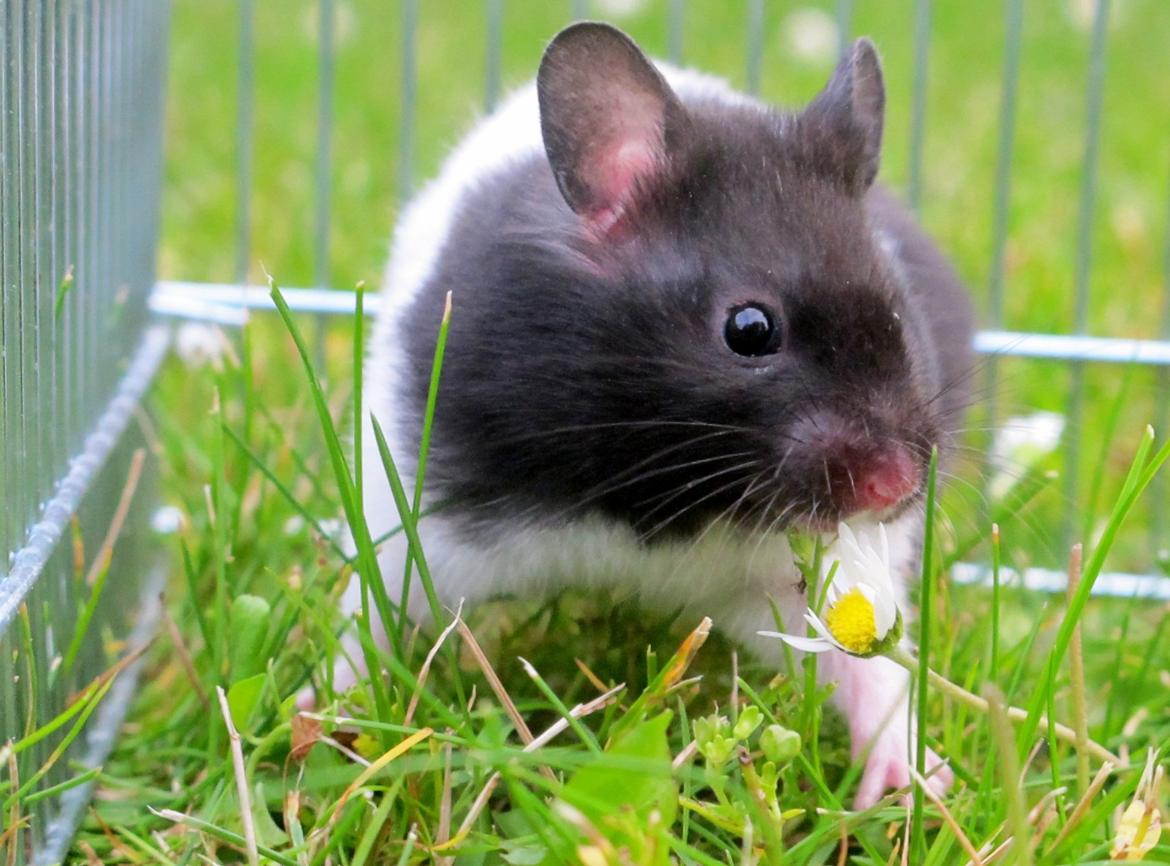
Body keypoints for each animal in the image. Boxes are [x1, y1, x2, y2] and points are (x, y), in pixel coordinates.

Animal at [341, 22, 974, 808]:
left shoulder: (808, 574)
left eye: (897, 315)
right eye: (749, 329)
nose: (895, 487)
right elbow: (370, 615)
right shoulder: (415, 514)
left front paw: (913, 789)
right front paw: (333, 725)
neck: (657, 479)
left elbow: (865, 661)